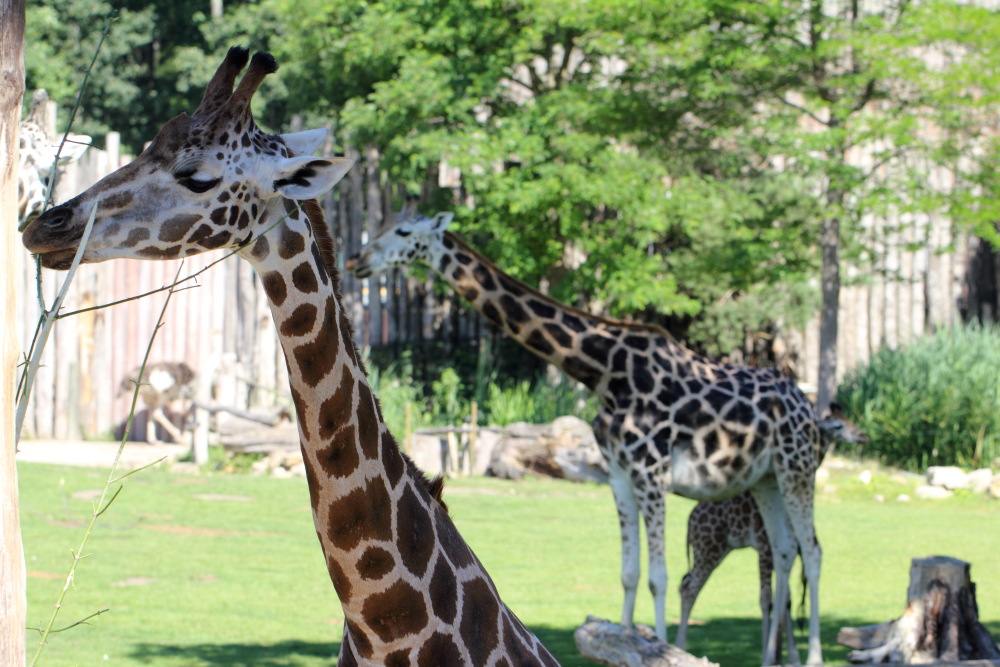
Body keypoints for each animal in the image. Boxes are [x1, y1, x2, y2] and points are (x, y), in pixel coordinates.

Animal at [349, 210, 827, 665]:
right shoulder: (619, 473)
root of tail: (808, 409)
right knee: (785, 552)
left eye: (404, 231)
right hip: (767, 479)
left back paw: (814, 656)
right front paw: (625, 644)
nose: (358, 260)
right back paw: (777, 657)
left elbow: (659, 577)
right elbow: (629, 573)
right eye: (383, 225)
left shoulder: (650, 470)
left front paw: (661, 650)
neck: (605, 371)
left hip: (797, 468)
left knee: (812, 550)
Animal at [676, 407, 869, 663]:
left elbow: (785, 599)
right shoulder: (765, 547)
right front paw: (769, 654)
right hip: (709, 549)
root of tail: (690, 521)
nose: (862, 436)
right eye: (838, 425)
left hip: (714, 550)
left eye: (851, 421)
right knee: (689, 587)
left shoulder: (783, 551)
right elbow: (766, 598)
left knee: (685, 582)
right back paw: (681, 646)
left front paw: (789, 656)